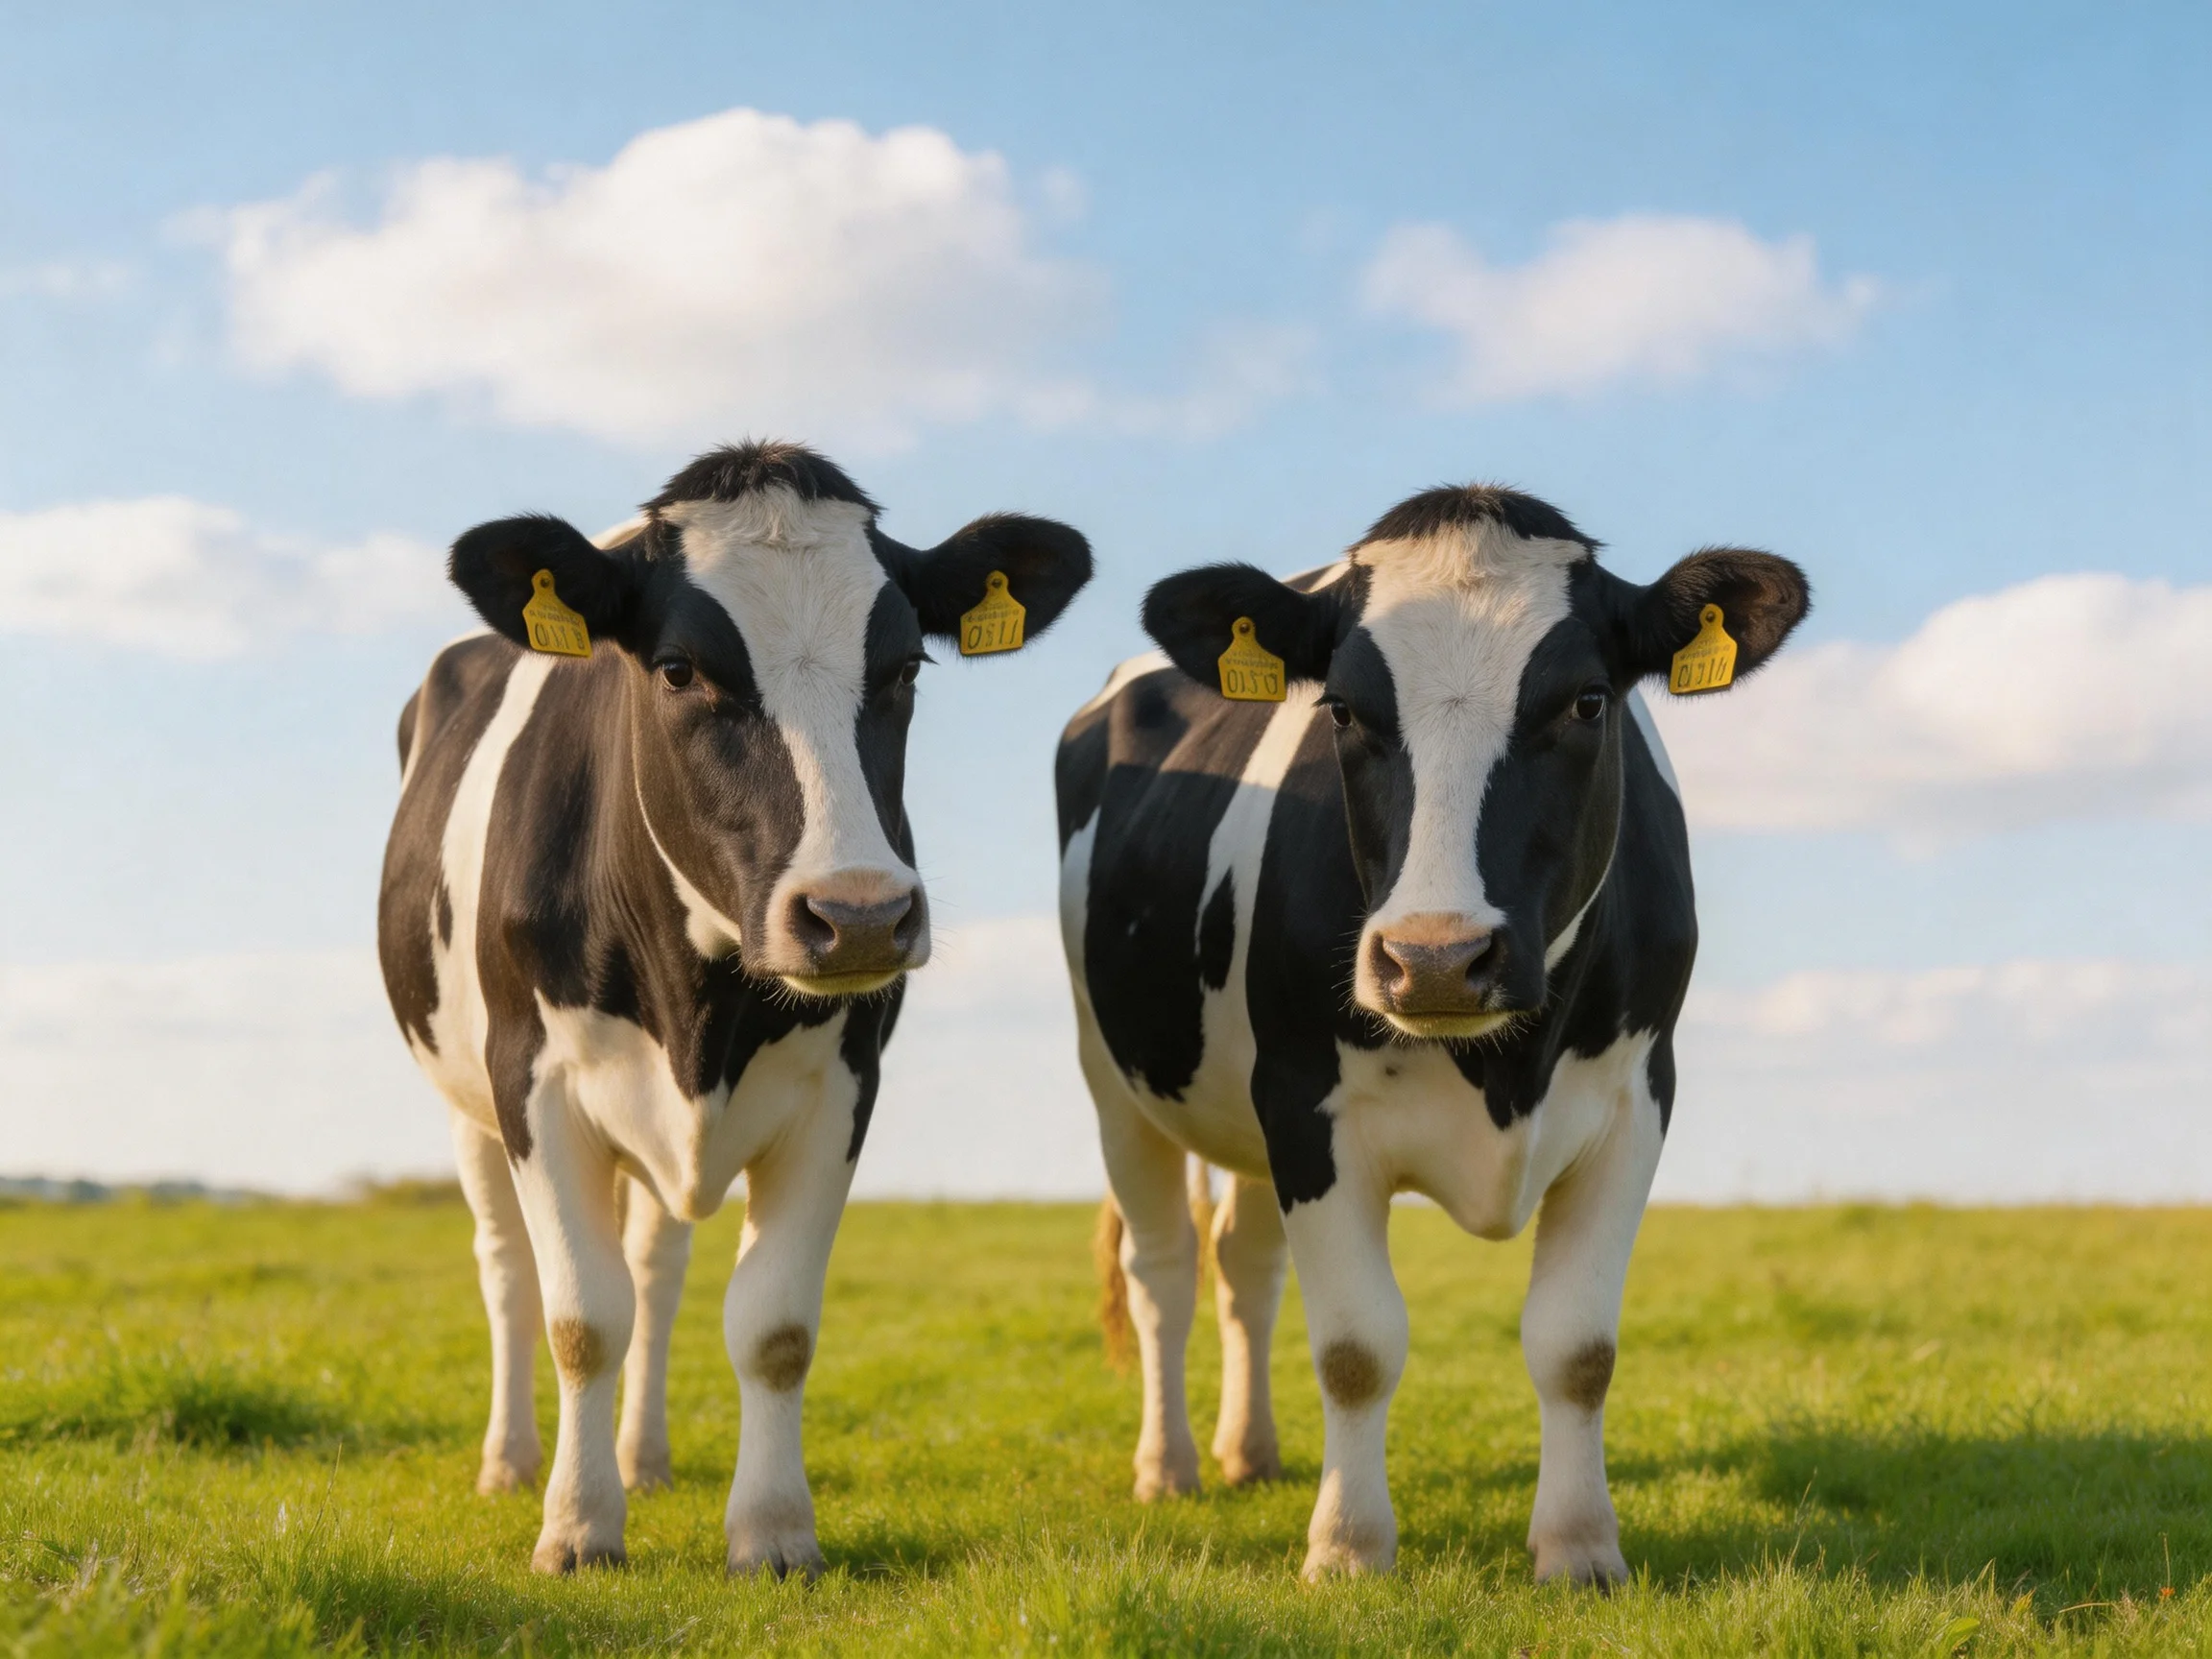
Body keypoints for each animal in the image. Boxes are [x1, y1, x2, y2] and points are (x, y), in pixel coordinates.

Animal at [378, 441, 1091, 1576]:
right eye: (679, 670)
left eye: (905, 669)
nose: (859, 914)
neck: (697, 1007)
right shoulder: (533, 1081)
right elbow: (580, 1317)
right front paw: (576, 1530)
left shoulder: (844, 1089)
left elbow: (772, 1326)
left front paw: (773, 1532)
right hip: (464, 1104)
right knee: (508, 1274)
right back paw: (511, 1462)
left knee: (656, 1271)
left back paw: (646, 1459)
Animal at [1056, 482, 1806, 1582]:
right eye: (1342, 709)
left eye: (1588, 702)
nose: (1439, 957)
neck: (1505, 1067)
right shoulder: (1307, 1105)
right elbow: (1356, 1348)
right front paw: (1348, 1549)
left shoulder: (1636, 1104)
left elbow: (1577, 1348)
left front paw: (1581, 1548)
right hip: (1115, 1077)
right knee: (1164, 1271)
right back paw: (1170, 1467)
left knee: (1243, 1264)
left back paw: (1251, 1452)